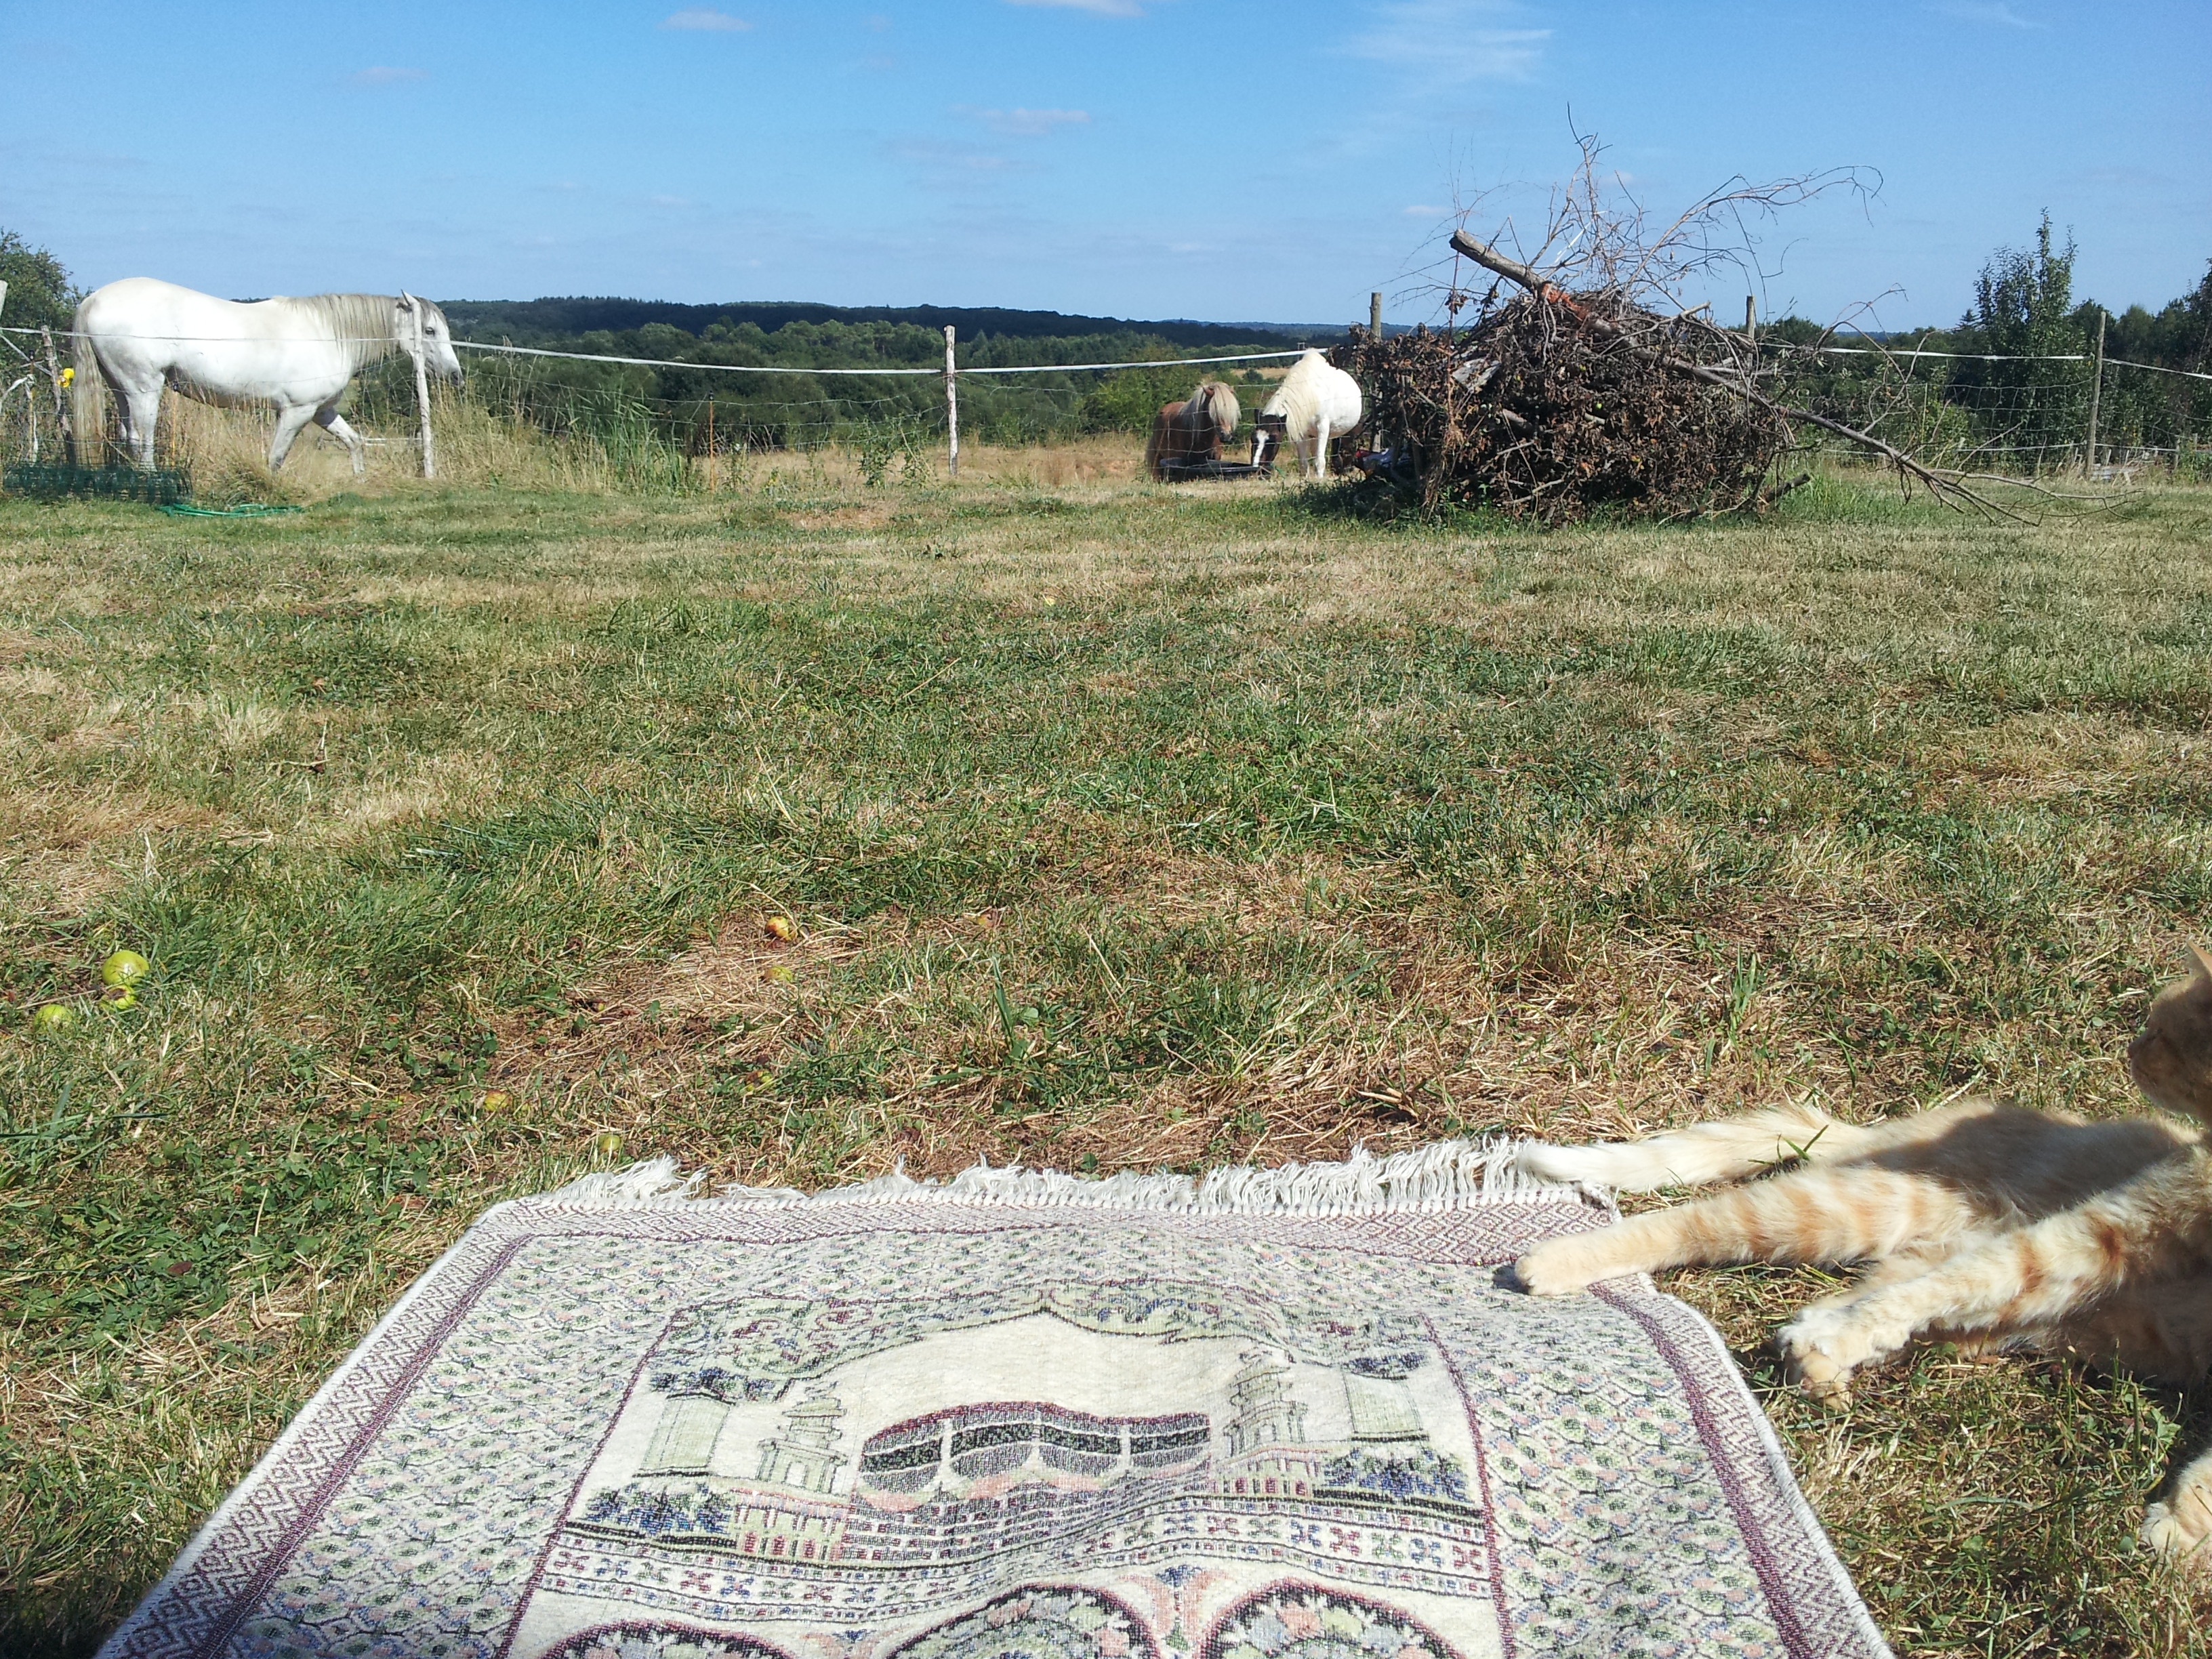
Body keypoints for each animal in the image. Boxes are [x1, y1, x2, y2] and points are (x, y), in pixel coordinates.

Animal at [69, 277, 462, 473]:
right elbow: (275, 457)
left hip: (122, 390)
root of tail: (93, 300)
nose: (456, 375)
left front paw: (359, 480)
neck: (331, 334)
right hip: (145, 390)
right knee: (142, 440)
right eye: (429, 331)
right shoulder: (296, 412)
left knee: (126, 437)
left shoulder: (322, 411)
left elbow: (354, 441)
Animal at [1256, 349, 1353, 480]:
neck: (1311, 395)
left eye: (1272, 440)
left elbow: (1320, 461)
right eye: (1253, 438)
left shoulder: (1323, 428)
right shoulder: (1301, 432)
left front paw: (1319, 481)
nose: (1260, 471)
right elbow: (1303, 463)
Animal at [1521, 946, 2212, 1574]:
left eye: (2159, 1030)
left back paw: (1816, 1363)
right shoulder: (2102, 1234)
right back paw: (1546, 1262)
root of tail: (1874, 1132)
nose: (2130, 1048)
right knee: (1695, 1224)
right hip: (1852, 1210)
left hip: (1975, 1312)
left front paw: (2185, 1533)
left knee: (1840, 1308)